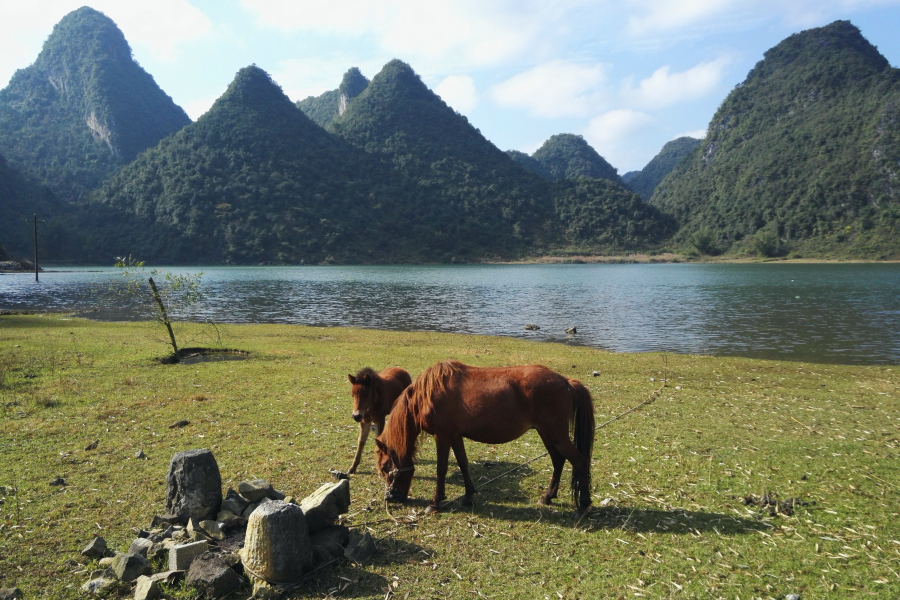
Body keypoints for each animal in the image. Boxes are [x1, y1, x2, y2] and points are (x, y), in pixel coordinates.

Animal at [374, 360, 596, 516]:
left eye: (385, 468)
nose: (391, 497)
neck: (428, 394)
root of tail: (564, 381)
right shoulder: (455, 436)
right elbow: (463, 464)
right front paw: (468, 496)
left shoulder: (443, 436)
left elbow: (441, 469)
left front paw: (435, 502)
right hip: (547, 434)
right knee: (558, 461)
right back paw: (548, 497)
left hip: (555, 434)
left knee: (579, 461)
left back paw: (583, 506)